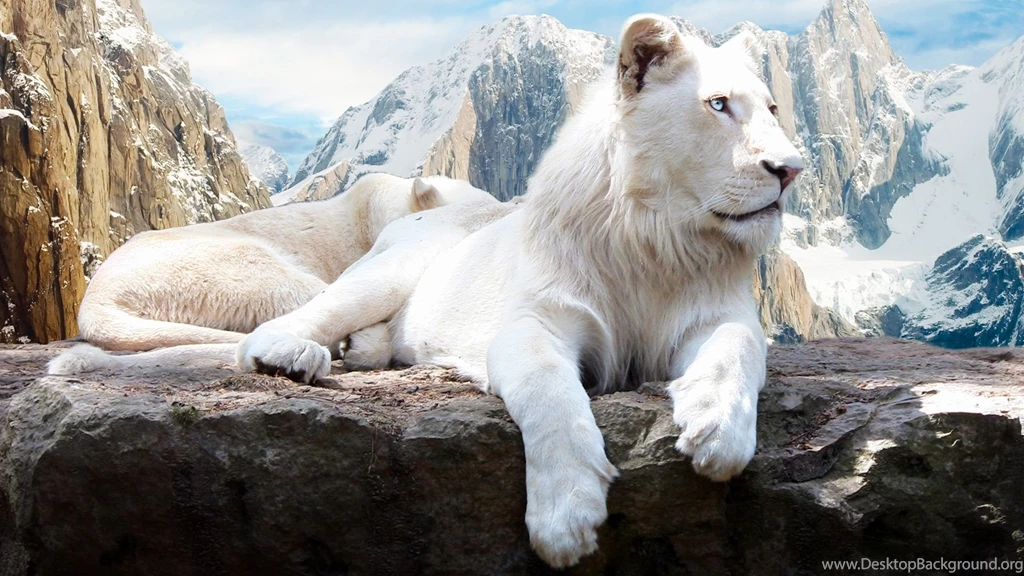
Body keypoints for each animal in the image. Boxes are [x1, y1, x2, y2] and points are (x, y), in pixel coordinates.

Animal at [50, 14, 803, 568]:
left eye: (772, 107)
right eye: (717, 106)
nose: (792, 168)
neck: (660, 238)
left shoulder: (715, 316)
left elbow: (738, 351)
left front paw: (717, 431)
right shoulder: (536, 323)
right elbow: (552, 398)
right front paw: (565, 517)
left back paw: (367, 353)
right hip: (365, 273)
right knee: (271, 332)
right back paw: (301, 357)